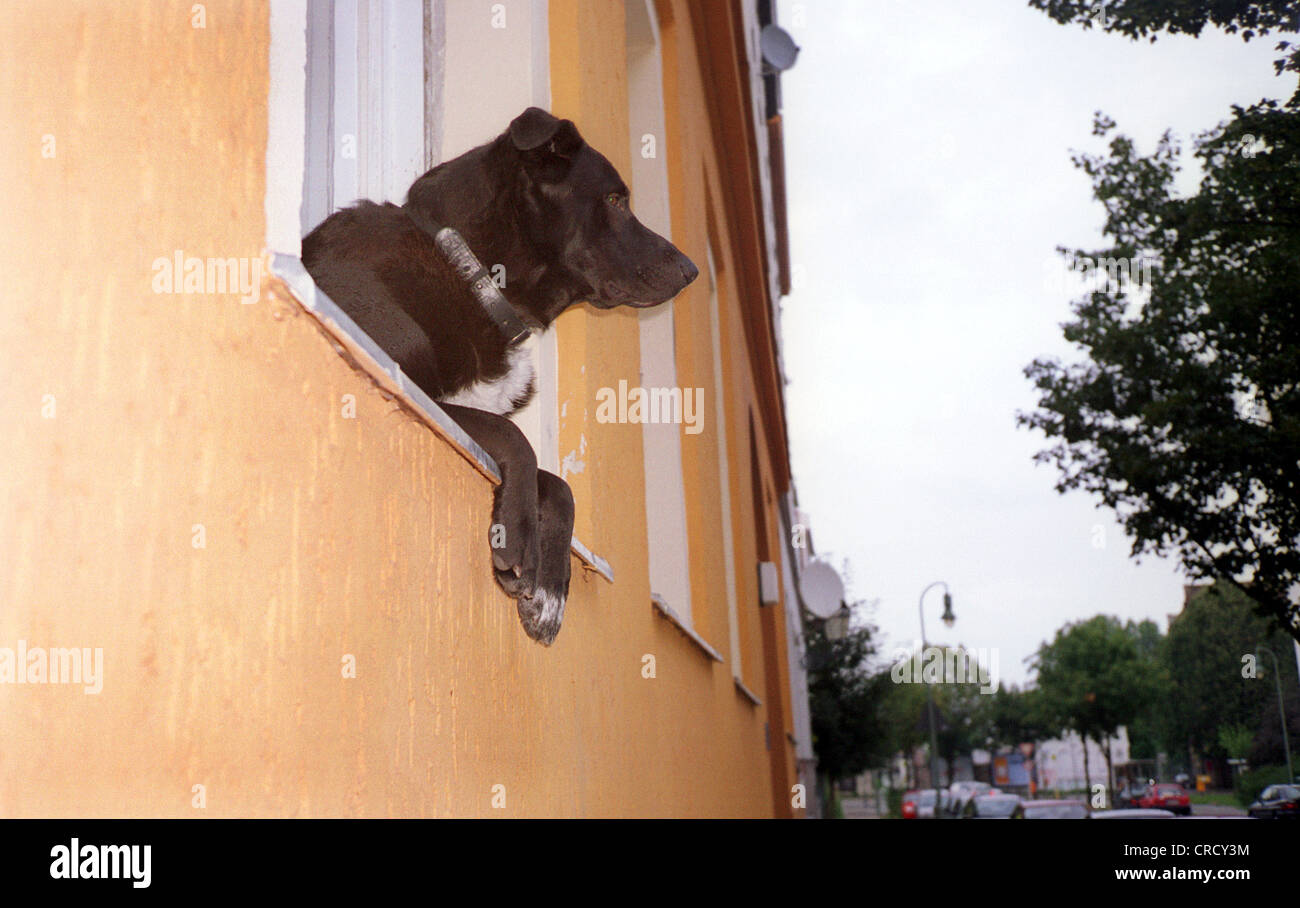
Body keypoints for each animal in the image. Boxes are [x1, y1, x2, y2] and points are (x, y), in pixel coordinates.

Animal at [300, 106, 702, 642]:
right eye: (616, 201)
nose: (692, 271)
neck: (474, 278)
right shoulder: (411, 387)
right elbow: (515, 437)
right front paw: (517, 536)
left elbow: (559, 484)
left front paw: (549, 590)